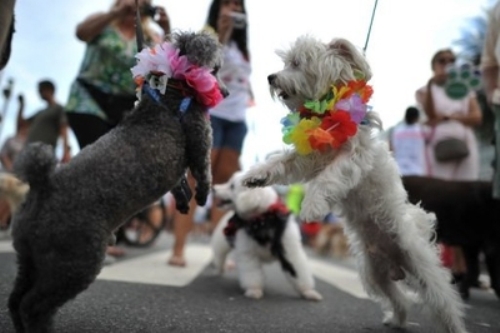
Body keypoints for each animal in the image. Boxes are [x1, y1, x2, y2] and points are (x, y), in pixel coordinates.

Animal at [210, 171, 320, 300]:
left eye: (231, 186)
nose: (213, 188)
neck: (262, 220)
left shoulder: (290, 252)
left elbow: (299, 272)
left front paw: (308, 291)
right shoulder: (248, 254)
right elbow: (252, 274)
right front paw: (254, 290)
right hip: (221, 246)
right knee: (220, 259)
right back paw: (220, 269)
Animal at [242, 35, 468, 332]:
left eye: (297, 63)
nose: (271, 77)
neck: (328, 113)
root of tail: (396, 261)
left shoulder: (353, 158)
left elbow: (328, 178)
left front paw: (312, 206)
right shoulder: (308, 158)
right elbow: (280, 163)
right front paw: (256, 176)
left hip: (422, 269)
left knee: (445, 302)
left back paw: (454, 326)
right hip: (375, 275)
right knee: (400, 300)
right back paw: (396, 320)